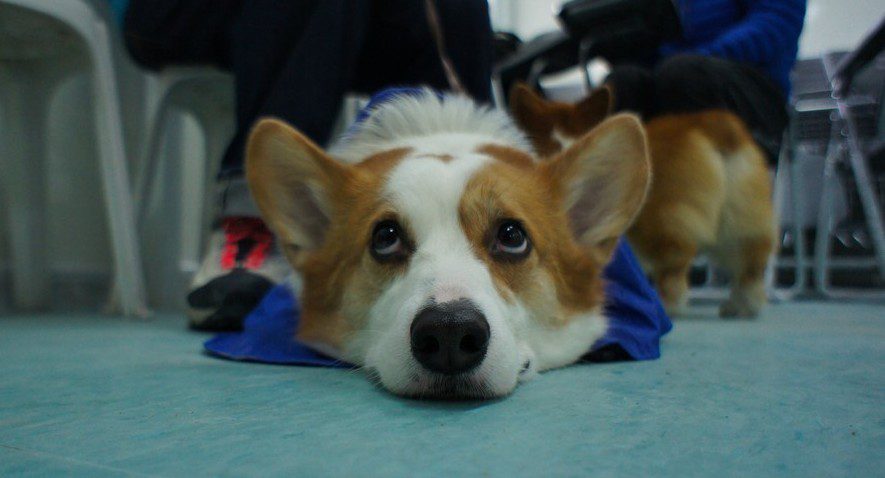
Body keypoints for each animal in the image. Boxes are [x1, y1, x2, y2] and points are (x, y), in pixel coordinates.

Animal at [509, 84, 776, 318]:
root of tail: (715, 124)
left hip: (663, 221)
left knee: (676, 261)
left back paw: (670, 306)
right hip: (737, 219)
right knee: (751, 261)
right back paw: (742, 307)